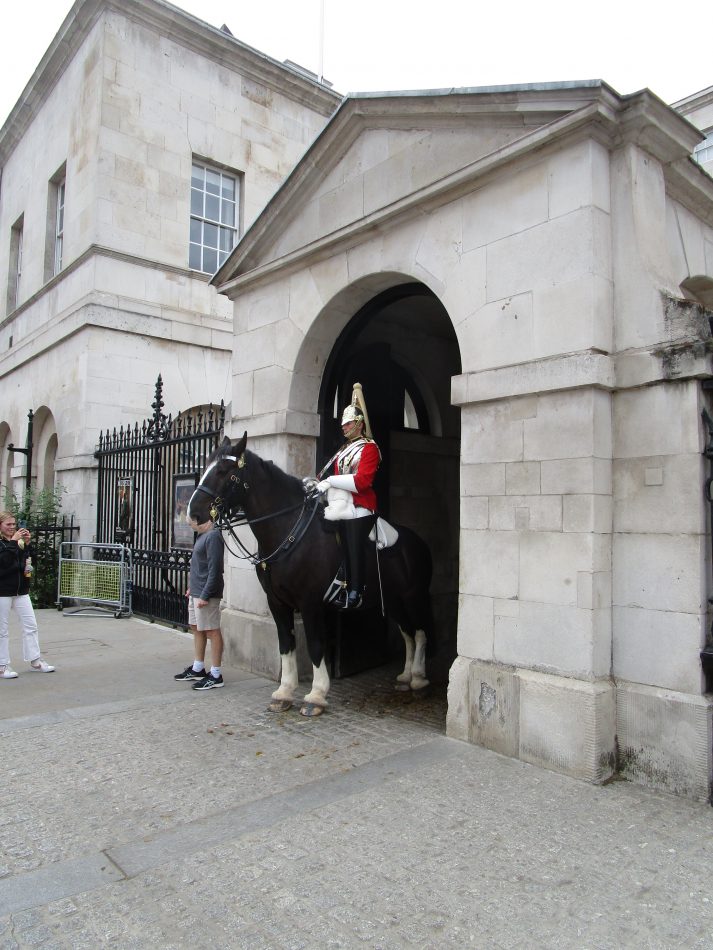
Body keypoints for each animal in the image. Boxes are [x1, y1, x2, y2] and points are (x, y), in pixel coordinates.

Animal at [186, 436, 434, 716]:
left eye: (223, 471)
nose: (193, 515)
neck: (288, 531)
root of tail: (416, 541)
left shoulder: (310, 602)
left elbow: (316, 645)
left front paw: (316, 695)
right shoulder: (277, 602)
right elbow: (286, 643)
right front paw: (284, 692)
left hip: (414, 596)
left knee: (421, 631)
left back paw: (418, 677)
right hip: (391, 600)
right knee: (408, 632)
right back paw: (405, 676)